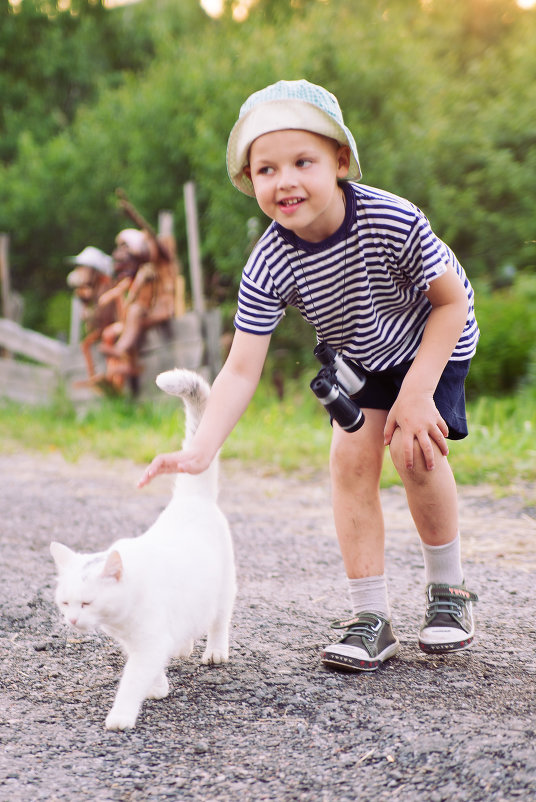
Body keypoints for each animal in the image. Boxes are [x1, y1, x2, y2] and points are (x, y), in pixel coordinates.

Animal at [48, 368, 237, 732]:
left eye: (86, 603)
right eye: (65, 603)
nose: (73, 620)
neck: (119, 619)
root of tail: (190, 498)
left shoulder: (148, 643)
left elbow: (133, 679)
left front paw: (121, 716)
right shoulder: (138, 642)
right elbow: (151, 669)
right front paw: (159, 686)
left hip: (223, 592)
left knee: (219, 622)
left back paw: (215, 652)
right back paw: (184, 646)